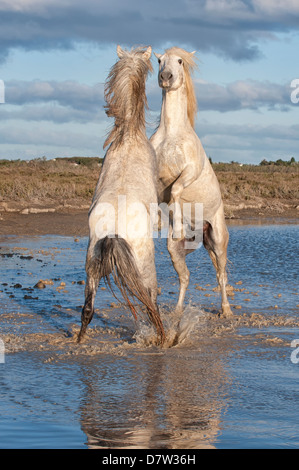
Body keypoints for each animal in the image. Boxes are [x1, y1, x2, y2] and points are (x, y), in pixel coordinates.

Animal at [77, 46, 166, 344]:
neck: (128, 137)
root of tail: (113, 233)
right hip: (145, 270)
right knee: (152, 306)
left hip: (91, 271)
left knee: (88, 310)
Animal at [151, 47, 233, 318]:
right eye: (159, 60)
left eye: (179, 61)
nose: (166, 77)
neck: (172, 135)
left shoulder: (190, 172)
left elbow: (176, 189)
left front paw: (176, 223)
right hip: (176, 251)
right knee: (185, 277)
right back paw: (177, 312)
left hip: (218, 241)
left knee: (221, 275)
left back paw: (226, 311)